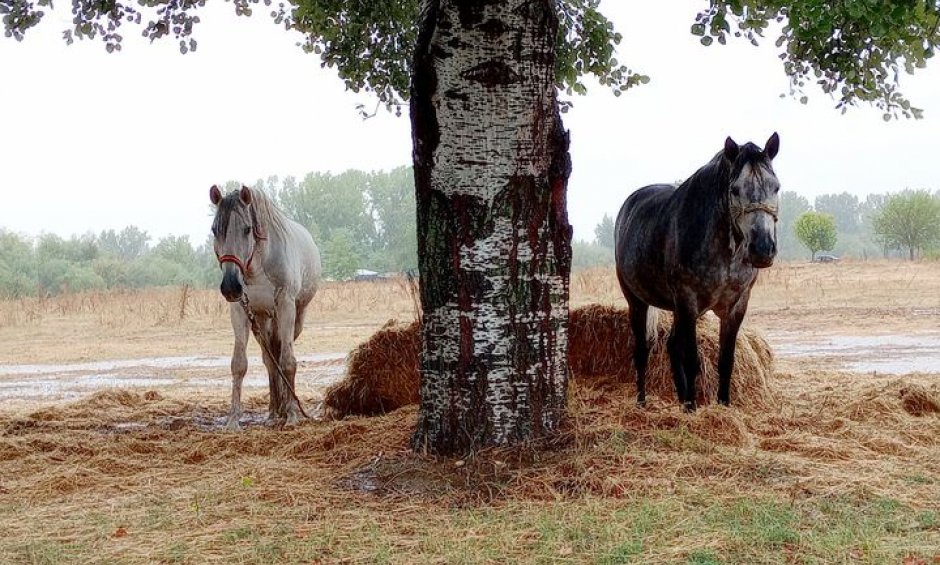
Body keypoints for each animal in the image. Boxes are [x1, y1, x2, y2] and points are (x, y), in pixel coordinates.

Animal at [208, 185, 320, 428]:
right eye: (214, 230)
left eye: (247, 229)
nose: (230, 286)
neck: (258, 266)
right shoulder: (240, 311)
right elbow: (239, 364)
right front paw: (233, 419)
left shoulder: (286, 306)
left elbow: (288, 361)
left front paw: (293, 415)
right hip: (260, 319)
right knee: (270, 360)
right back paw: (273, 411)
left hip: (294, 318)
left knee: (281, 354)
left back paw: (286, 408)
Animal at [612, 135, 784, 410]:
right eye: (735, 190)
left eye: (775, 187)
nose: (762, 249)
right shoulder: (688, 300)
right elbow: (692, 361)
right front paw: (694, 409)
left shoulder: (736, 306)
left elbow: (726, 362)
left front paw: (722, 406)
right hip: (637, 300)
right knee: (642, 351)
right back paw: (642, 402)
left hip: (676, 309)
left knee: (672, 346)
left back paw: (683, 400)